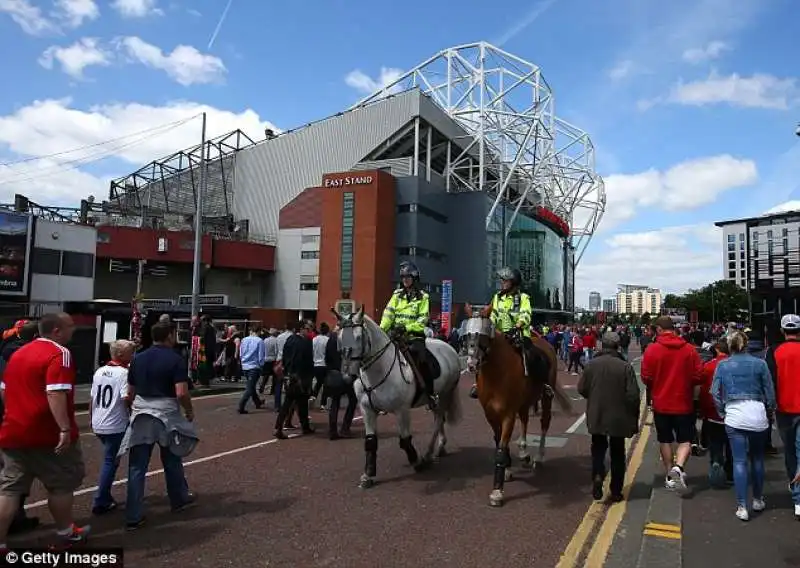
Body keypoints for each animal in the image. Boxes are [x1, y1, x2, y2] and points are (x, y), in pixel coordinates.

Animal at [332, 306, 462, 488]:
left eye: (358, 337)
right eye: (339, 337)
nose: (346, 376)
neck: (378, 371)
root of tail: (449, 347)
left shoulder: (402, 410)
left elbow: (405, 440)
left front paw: (416, 462)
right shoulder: (367, 410)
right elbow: (370, 441)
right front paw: (368, 475)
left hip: (445, 394)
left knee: (438, 421)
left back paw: (428, 455)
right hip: (435, 398)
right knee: (439, 417)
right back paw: (440, 448)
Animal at [460, 304, 572, 508]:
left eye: (483, 335)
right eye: (466, 335)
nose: (471, 364)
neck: (496, 375)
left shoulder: (508, 415)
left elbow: (501, 448)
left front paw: (497, 491)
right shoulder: (490, 415)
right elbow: (498, 443)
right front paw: (507, 470)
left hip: (545, 398)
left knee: (544, 423)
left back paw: (539, 456)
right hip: (524, 401)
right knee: (525, 419)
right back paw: (523, 451)